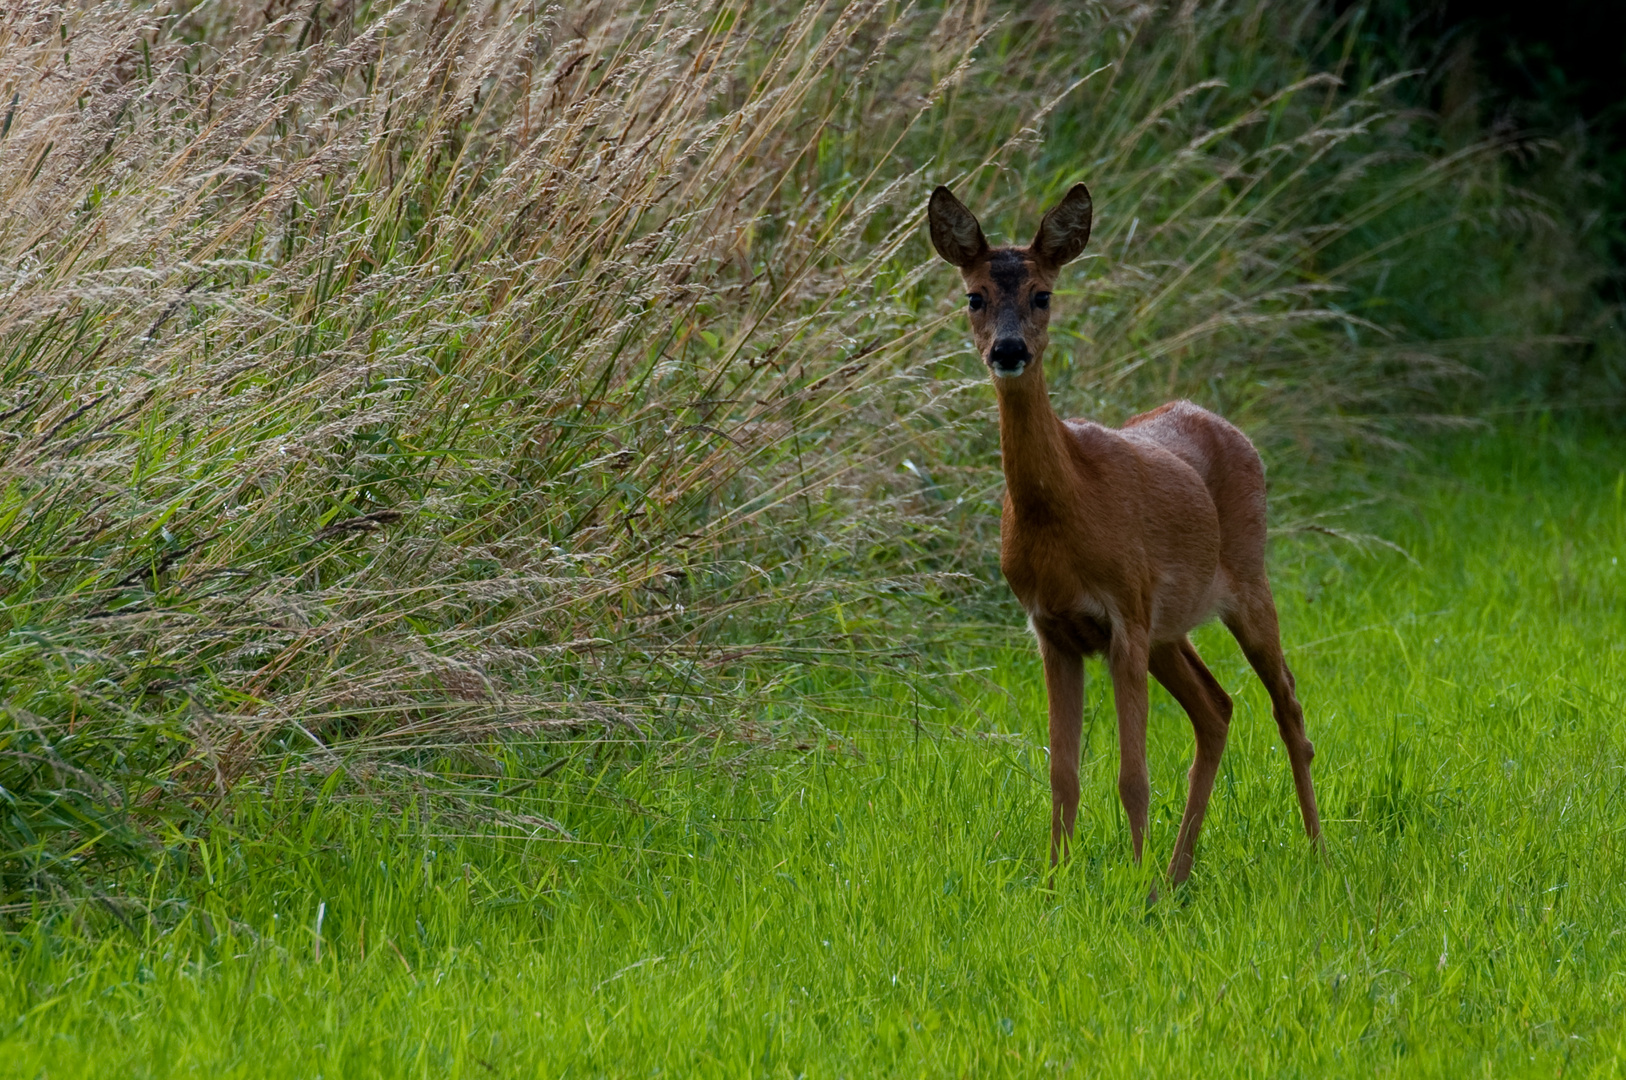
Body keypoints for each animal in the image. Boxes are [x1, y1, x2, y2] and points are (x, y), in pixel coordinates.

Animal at [930, 178, 1320, 884]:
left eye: (1043, 294)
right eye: (974, 295)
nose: (1009, 351)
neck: (1066, 514)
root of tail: (1228, 426)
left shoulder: (1123, 618)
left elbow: (1132, 777)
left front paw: (1130, 885)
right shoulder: (1053, 629)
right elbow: (1063, 775)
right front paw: (1056, 882)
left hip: (1246, 582)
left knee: (1289, 707)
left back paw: (1315, 851)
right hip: (1169, 628)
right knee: (1217, 708)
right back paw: (1177, 876)